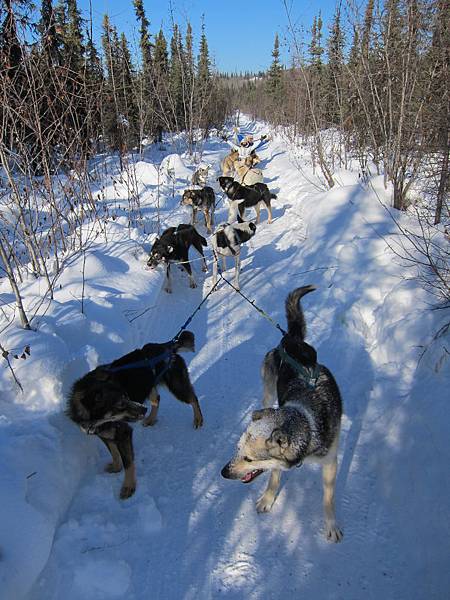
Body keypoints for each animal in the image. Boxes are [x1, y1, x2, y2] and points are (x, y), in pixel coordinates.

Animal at [67, 330, 203, 500]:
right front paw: (116, 467)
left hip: (177, 387)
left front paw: (128, 487)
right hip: (150, 386)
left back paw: (198, 419)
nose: (143, 410)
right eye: (120, 404)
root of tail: (168, 346)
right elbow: (114, 454)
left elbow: (128, 463)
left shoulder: (124, 433)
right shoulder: (105, 435)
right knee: (157, 398)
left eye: (126, 396)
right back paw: (151, 419)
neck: (98, 420)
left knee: (193, 398)